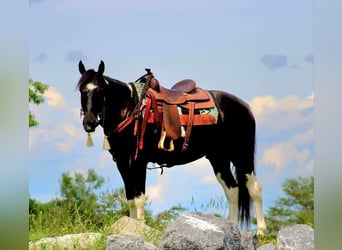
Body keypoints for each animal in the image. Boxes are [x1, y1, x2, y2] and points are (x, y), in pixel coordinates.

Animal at [75, 59, 268, 233]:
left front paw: (140, 229)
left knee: (254, 188)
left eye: (100, 90)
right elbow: (130, 198)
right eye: (82, 90)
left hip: (242, 155)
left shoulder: (139, 162)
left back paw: (261, 232)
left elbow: (139, 198)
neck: (131, 109)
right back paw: (232, 228)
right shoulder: (123, 163)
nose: (89, 122)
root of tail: (244, 106)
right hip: (219, 158)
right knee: (233, 190)